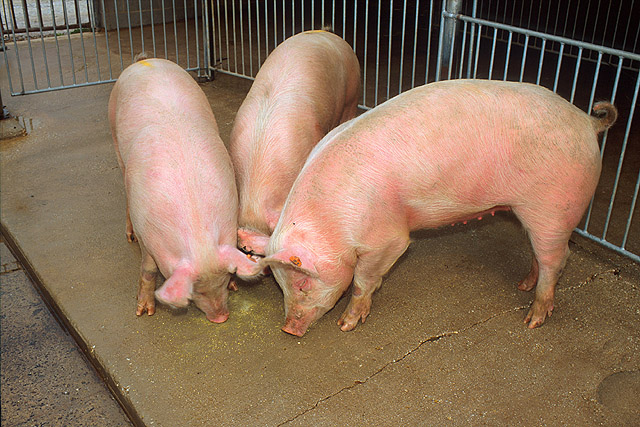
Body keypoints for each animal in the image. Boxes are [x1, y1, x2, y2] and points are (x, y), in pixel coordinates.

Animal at [109, 57, 260, 322]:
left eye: (223, 280)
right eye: (194, 292)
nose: (221, 317)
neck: (198, 231)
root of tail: (146, 60)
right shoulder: (148, 237)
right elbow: (148, 269)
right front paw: (144, 312)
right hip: (115, 134)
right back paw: (129, 236)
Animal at [253, 79, 617, 336]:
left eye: (302, 284)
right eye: (280, 284)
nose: (288, 328)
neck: (333, 222)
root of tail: (587, 122)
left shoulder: (387, 239)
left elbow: (362, 279)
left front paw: (347, 325)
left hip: (555, 206)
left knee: (558, 257)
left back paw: (532, 319)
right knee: (541, 255)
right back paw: (523, 285)